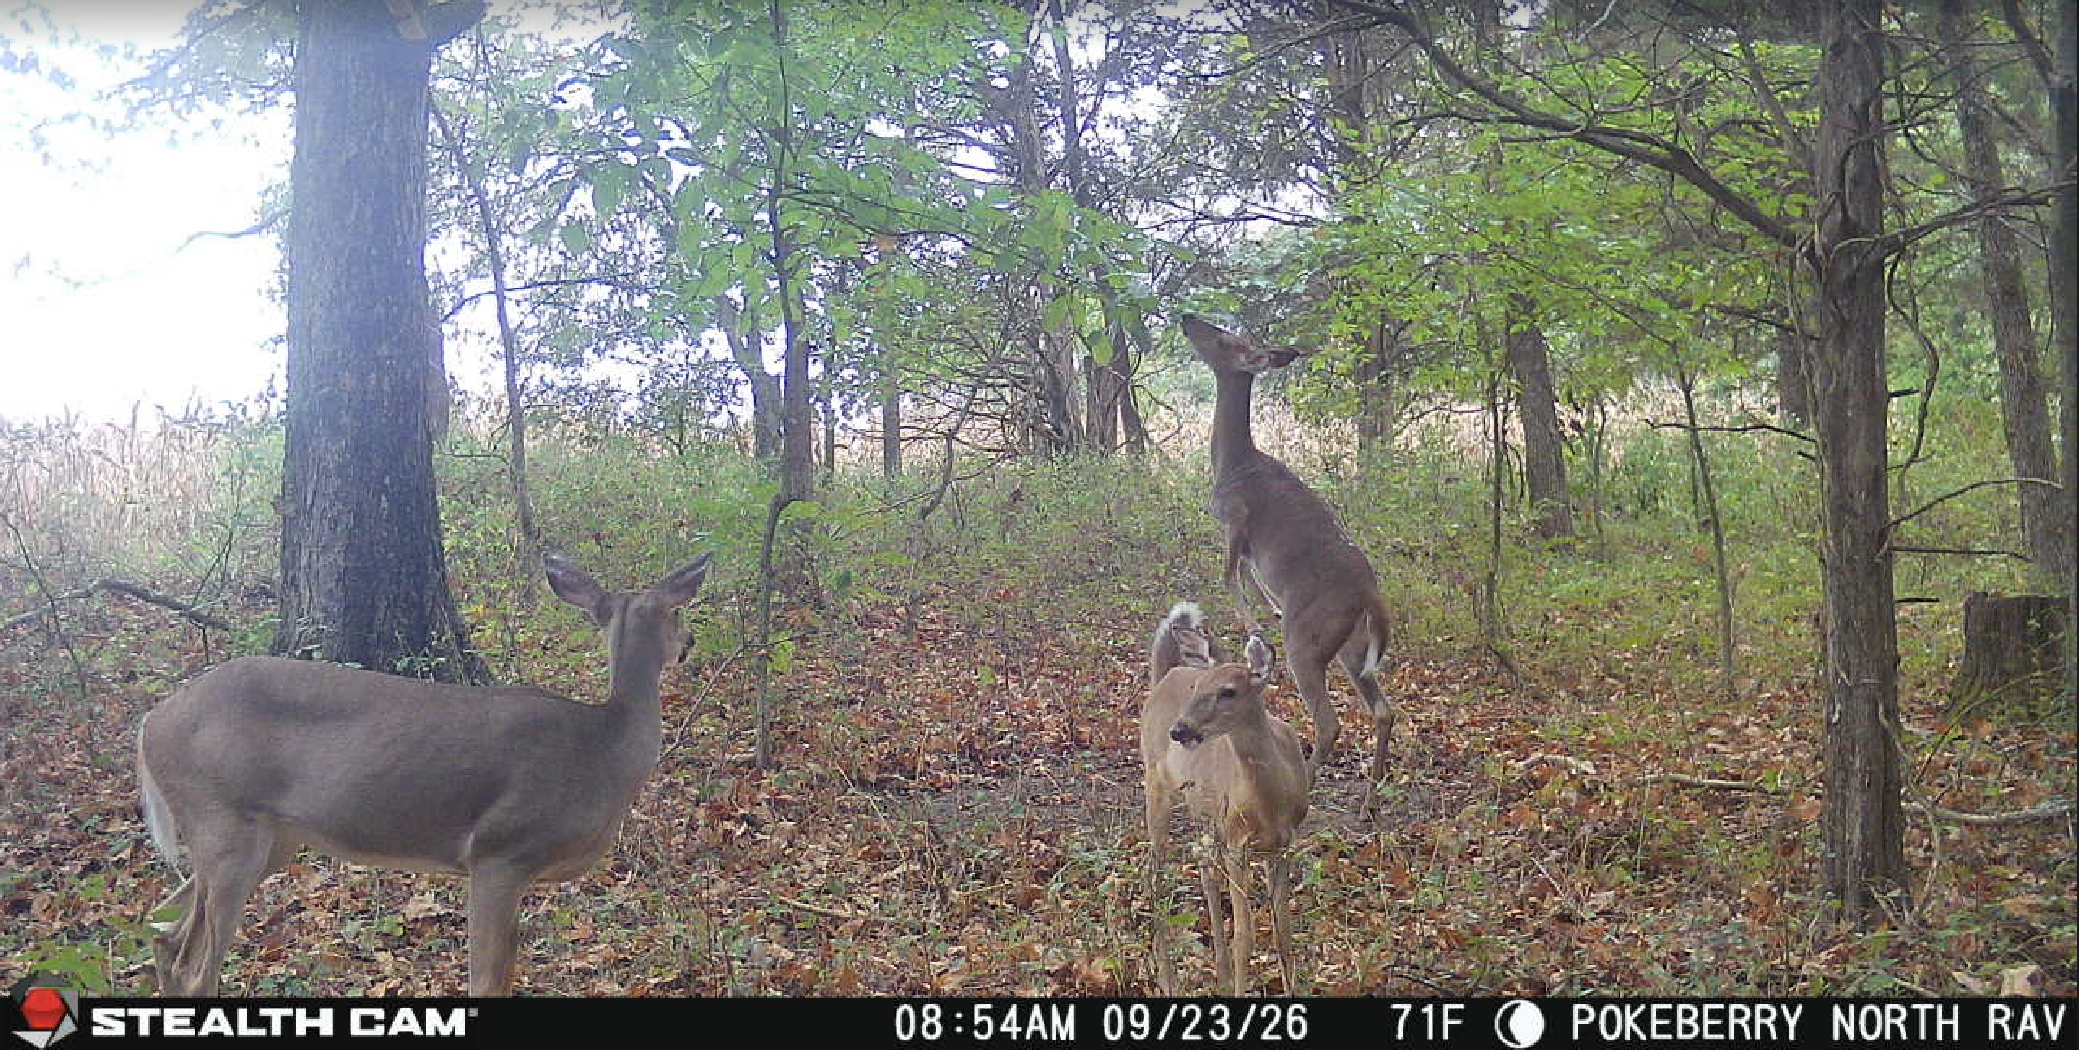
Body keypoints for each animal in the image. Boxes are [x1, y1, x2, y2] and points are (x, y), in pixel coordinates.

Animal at [136, 551, 710, 997]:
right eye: (678, 612)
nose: (689, 643)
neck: (603, 749)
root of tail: (149, 724)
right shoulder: (500, 851)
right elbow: (486, 981)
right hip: (222, 820)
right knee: (192, 967)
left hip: (270, 838)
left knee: (160, 927)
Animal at [1142, 602, 1307, 997]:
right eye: (1198, 687)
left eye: (1229, 691)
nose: (1179, 729)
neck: (1271, 801)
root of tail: (1164, 677)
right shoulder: (1237, 840)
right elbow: (1245, 937)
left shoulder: (1284, 843)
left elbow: (1283, 932)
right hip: (1156, 783)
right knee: (1153, 875)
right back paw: (1169, 979)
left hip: (1204, 815)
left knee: (1204, 871)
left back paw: (1219, 974)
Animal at [1179, 314, 1396, 790]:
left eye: (1224, 338)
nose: (1187, 319)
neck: (1232, 461)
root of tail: (1370, 596)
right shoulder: (1248, 546)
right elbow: (1247, 576)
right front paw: (1266, 611)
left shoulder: (1234, 518)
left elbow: (1228, 576)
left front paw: (1254, 628)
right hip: (1354, 648)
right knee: (1383, 711)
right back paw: (1371, 792)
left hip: (1307, 639)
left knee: (1330, 720)